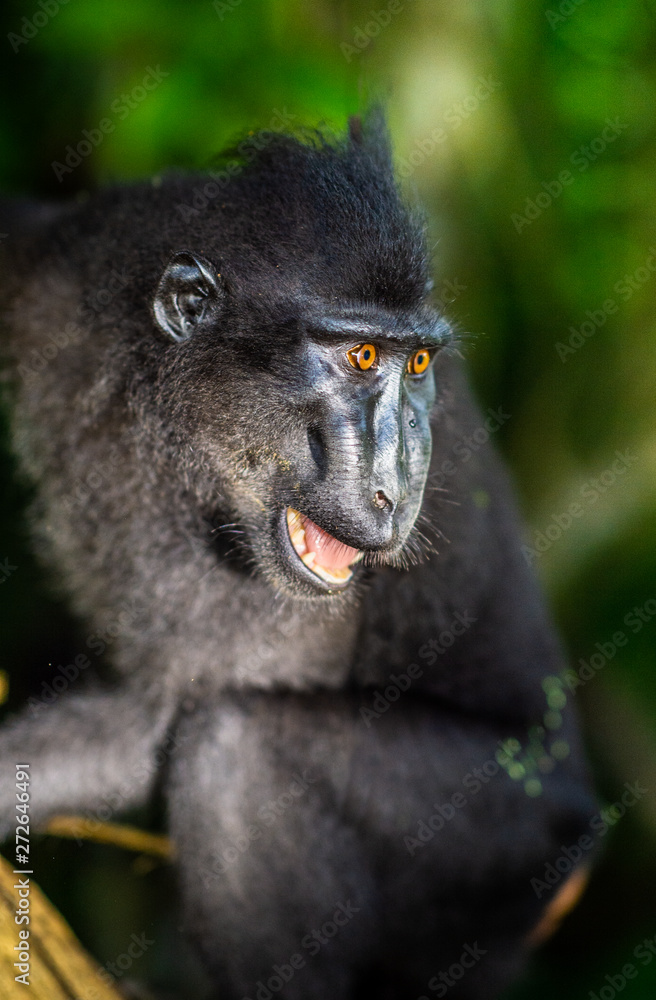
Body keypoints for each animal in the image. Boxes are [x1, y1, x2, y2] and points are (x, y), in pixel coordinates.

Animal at [0, 112, 595, 999]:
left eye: (419, 362)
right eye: (361, 357)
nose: (397, 482)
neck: (166, 419)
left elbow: (175, 727)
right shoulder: (53, 280)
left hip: (516, 845)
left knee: (237, 750)